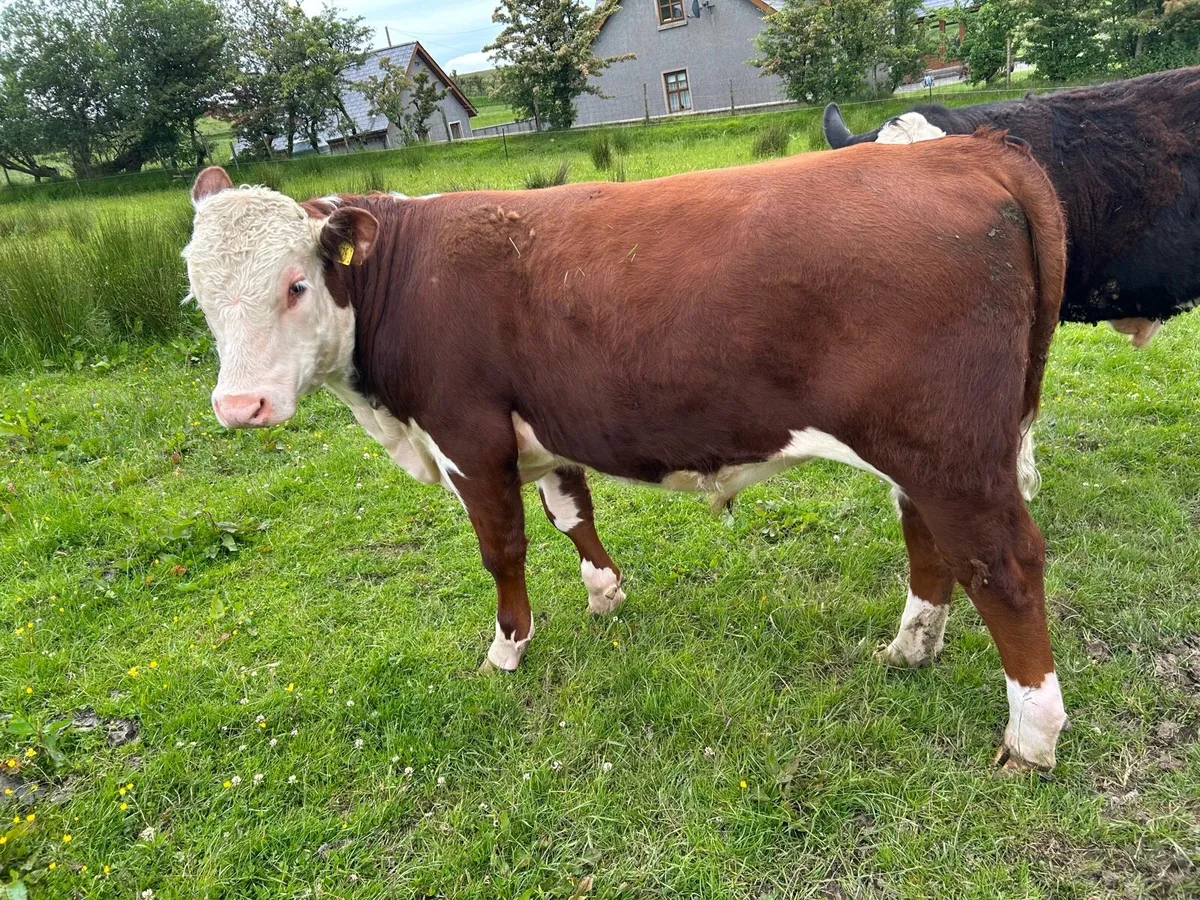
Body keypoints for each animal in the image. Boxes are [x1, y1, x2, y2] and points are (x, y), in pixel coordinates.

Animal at [183, 130, 1070, 770]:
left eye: (296, 283)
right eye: (196, 295)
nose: (239, 407)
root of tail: (964, 151)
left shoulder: (468, 435)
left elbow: (502, 547)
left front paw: (507, 649)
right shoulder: (544, 426)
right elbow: (571, 511)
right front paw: (604, 594)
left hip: (952, 450)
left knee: (1003, 564)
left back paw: (1032, 737)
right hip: (920, 448)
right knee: (929, 539)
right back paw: (910, 648)